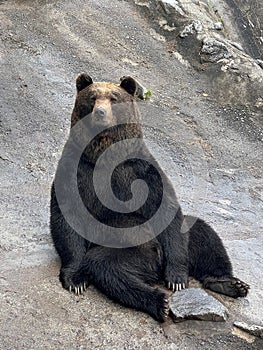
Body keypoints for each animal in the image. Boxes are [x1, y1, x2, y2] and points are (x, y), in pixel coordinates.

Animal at [50, 74, 251, 322]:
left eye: (114, 98)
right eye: (93, 97)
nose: (101, 113)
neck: (105, 154)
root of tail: (155, 265)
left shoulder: (142, 169)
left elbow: (167, 208)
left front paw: (177, 278)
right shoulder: (76, 171)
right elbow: (67, 216)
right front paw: (75, 280)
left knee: (202, 233)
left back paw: (229, 283)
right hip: (124, 248)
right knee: (109, 269)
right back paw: (159, 302)